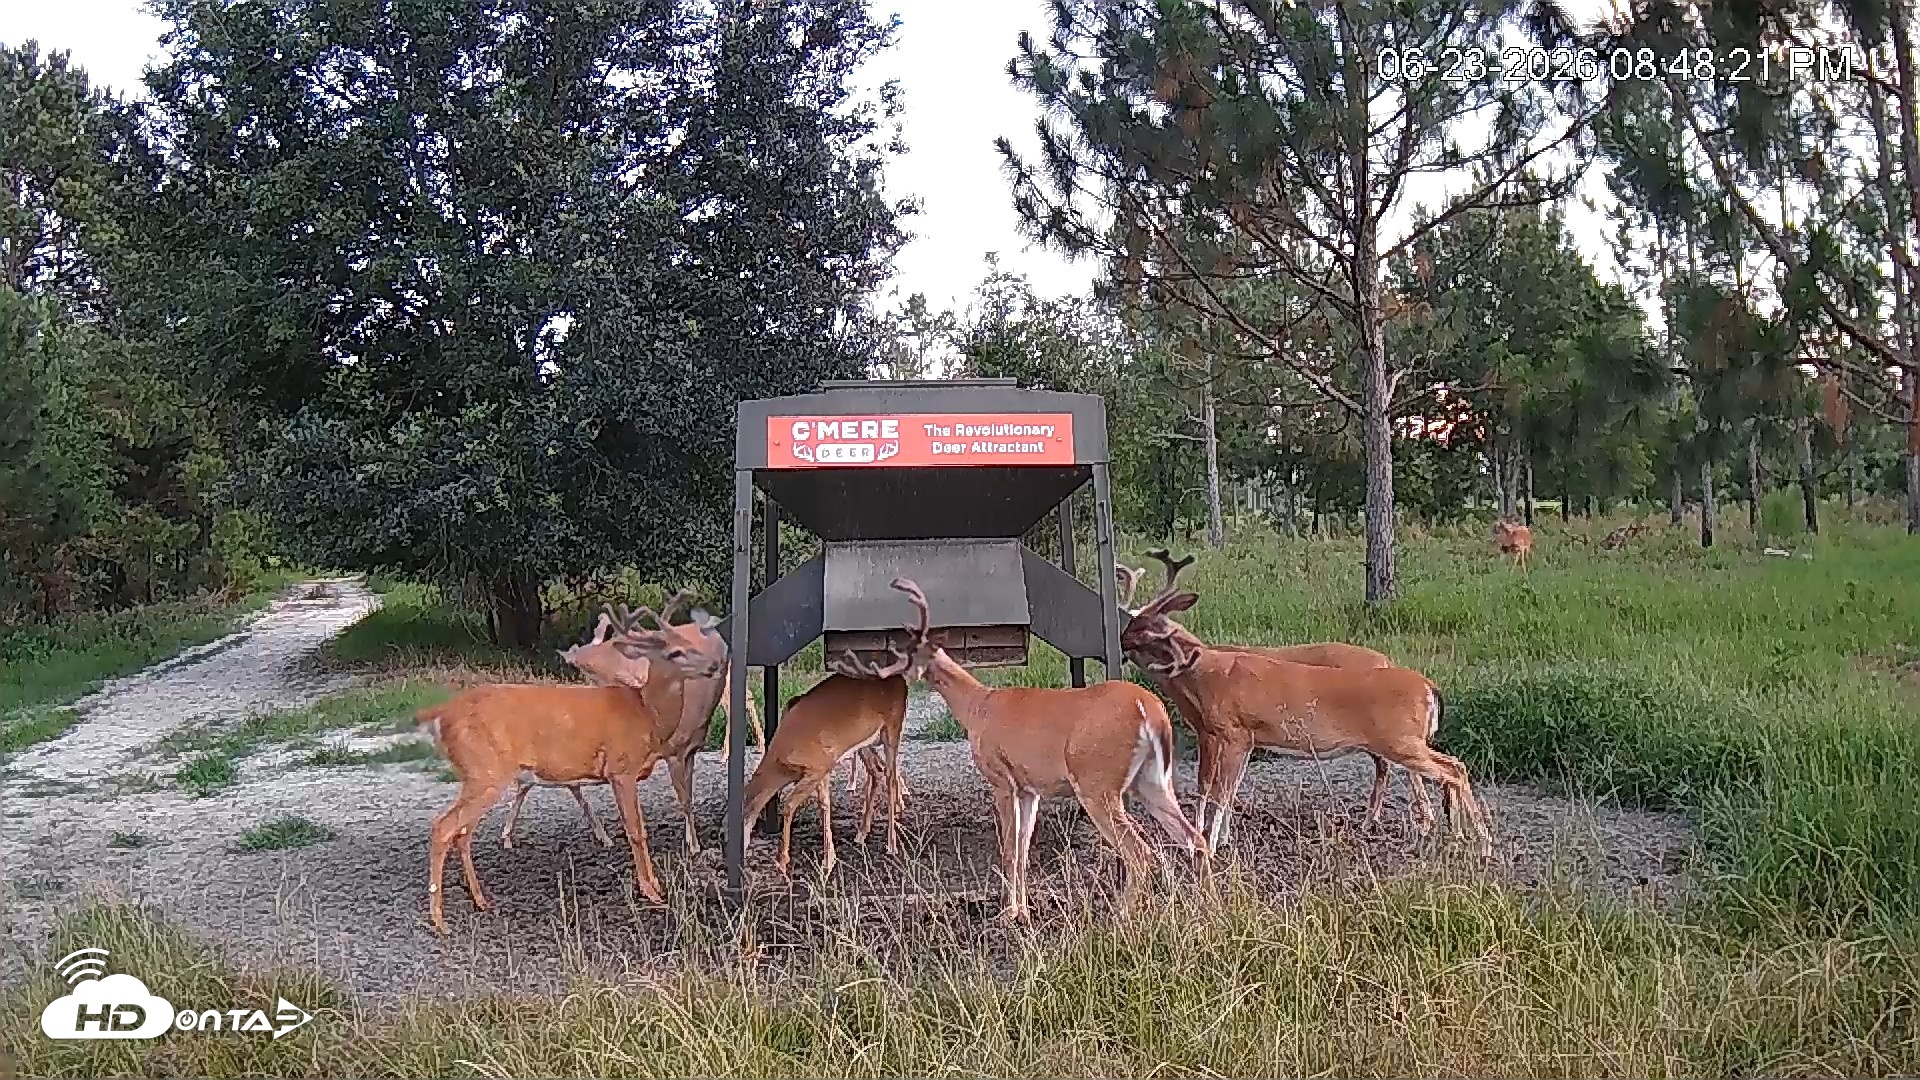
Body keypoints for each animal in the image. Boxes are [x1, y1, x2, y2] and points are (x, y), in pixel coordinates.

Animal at [415, 609, 727, 934]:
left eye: (690, 643)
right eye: (675, 651)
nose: (714, 664)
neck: (646, 713)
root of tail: (440, 715)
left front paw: (654, 885)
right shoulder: (621, 768)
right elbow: (636, 831)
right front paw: (652, 891)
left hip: (480, 776)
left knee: (462, 833)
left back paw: (480, 901)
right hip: (484, 771)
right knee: (443, 827)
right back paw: (439, 920)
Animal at [738, 669, 910, 877]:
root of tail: (900, 680)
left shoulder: (818, 766)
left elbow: (789, 805)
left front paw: (782, 862)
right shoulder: (822, 770)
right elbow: (824, 805)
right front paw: (829, 860)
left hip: (893, 727)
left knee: (890, 776)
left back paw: (891, 845)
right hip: (864, 742)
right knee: (876, 771)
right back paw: (861, 834)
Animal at [856, 577, 1209, 924]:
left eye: (906, 651)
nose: (885, 674)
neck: (976, 707)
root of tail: (1149, 710)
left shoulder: (1001, 778)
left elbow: (1009, 849)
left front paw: (1007, 914)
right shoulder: (1029, 788)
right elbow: (1024, 850)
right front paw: (1023, 911)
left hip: (1098, 783)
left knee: (1142, 853)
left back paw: (1122, 917)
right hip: (1152, 779)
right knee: (1195, 838)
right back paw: (1208, 908)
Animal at [1119, 567, 1493, 860]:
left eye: (1142, 628)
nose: (1120, 641)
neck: (1204, 676)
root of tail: (1429, 687)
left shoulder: (1230, 730)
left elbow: (1214, 790)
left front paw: (1207, 846)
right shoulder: (1244, 738)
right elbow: (1226, 787)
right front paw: (1219, 840)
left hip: (1400, 740)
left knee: (1451, 769)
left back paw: (1479, 841)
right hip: (1403, 741)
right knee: (1449, 767)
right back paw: (1457, 835)